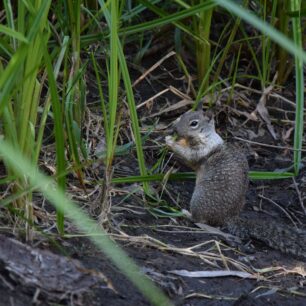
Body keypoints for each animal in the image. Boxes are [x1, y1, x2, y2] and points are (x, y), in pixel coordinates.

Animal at [166, 109, 306, 260]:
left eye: (194, 123)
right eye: (183, 115)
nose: (174, 129)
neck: (207, 136)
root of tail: (229, 217)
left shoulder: (202, 150)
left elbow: (188, 156)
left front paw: (169, 141)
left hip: (199, 200)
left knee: (200, 220)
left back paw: (186, 213)